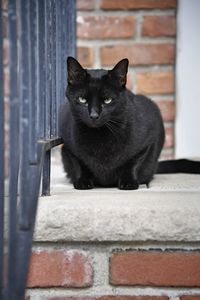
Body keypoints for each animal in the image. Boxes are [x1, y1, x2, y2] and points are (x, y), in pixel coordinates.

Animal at [59, 57, 200, 189]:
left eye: (107, 100)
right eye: (82, 99)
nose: (94, 115)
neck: (99, 138)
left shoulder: (148, 137)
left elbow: (133, 163)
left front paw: (128, 182)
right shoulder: (68, 146)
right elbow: (79, 164)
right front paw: (83, 182)